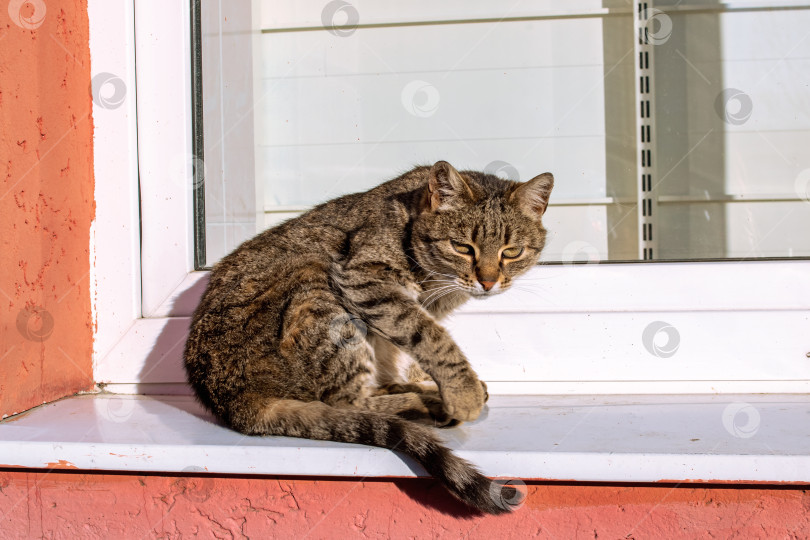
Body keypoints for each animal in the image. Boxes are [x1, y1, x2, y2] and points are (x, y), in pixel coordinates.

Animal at [183, 161, 548, 516]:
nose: (488, 282)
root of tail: (231, 402)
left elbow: (411, 349)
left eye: (512, 252)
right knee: (347, 403)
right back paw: (424, 404)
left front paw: (431, 383)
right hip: (316, 285)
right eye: (462, 247)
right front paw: (461, 390)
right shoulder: (365, 277)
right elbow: (429, 335)